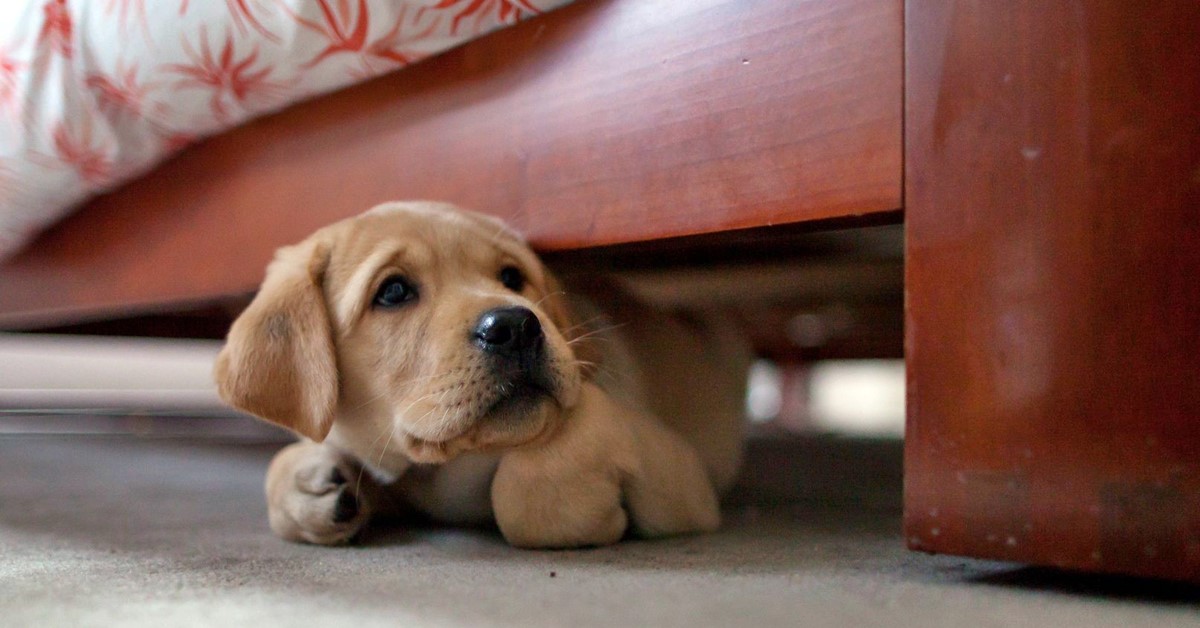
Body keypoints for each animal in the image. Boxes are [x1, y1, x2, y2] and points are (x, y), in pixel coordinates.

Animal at [211, 202, 744, 549]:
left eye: (511, 277)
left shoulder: (683, 474)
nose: (515, 327)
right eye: (393, 291)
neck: (449, 469)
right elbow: (289, 462)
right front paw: (310, 482)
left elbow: (536, 477)